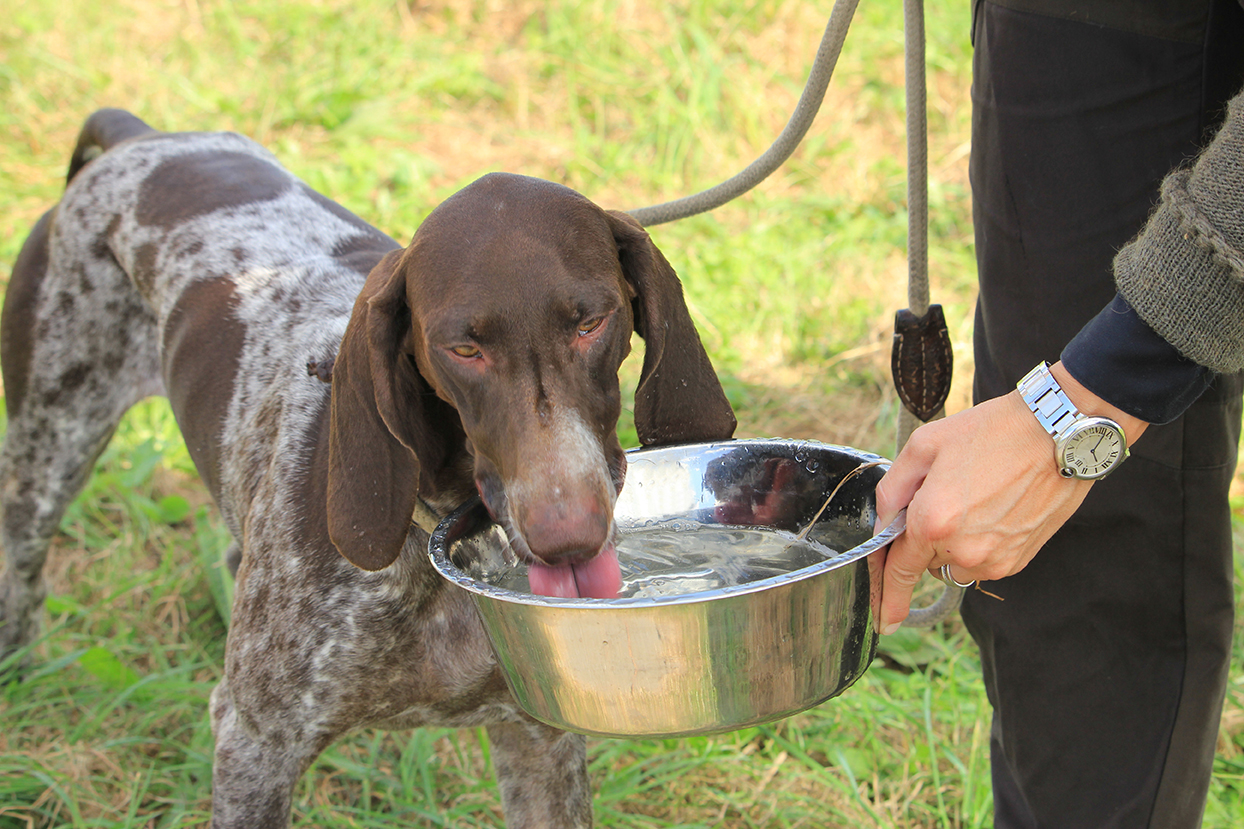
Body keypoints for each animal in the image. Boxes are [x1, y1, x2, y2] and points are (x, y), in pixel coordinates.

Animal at [0, 111, 731, 826]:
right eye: (463, 349)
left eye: (592, 322)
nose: (568, 537)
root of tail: (139, 136)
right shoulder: (255, 744)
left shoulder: (539, 737)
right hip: (45, 450)